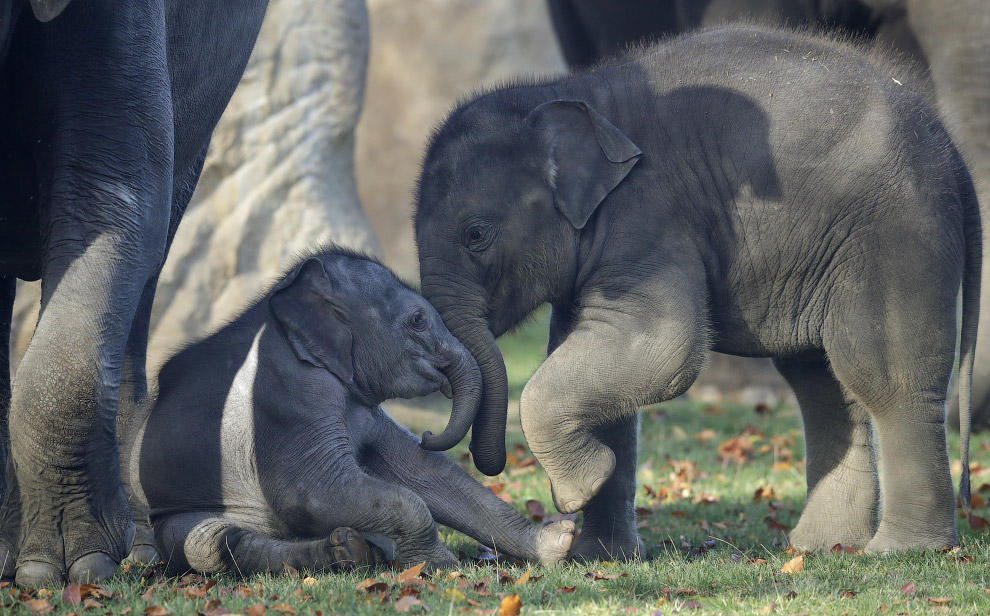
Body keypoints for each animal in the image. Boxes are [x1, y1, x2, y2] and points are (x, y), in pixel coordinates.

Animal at [122, 248, 572, 576]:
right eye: (418, 320)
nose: (430, 434)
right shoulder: (285, 398)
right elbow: (311, 493)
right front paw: (440, 567)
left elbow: (427, 475)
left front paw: (560, 542)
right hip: (171, 517)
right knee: (211, 543)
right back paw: (349, 552)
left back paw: (356, 549)